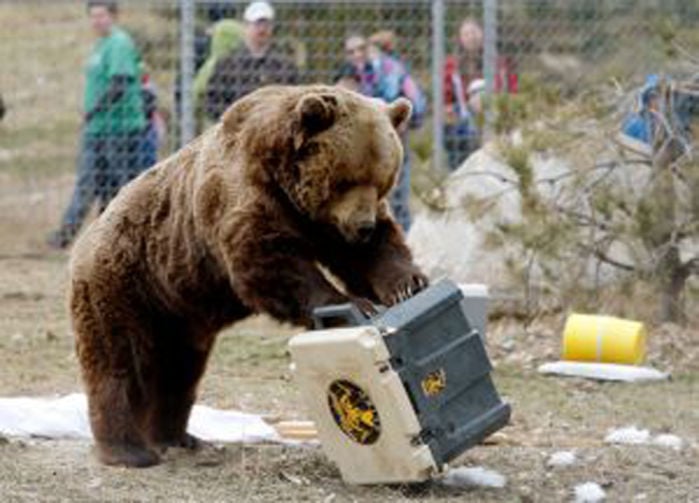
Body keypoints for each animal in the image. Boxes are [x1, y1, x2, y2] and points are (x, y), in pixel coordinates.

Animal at [72, 85, 432, 468]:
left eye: (383, 180)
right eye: (347, 180)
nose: (362, 227)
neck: (286, 183)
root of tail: (85, 241)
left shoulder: (324, 223)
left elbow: (372, 254)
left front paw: (409, 285)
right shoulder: (244, 196)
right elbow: (269, 265)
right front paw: (351, 305)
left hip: (176, 311)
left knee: (179, 371)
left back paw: (178, 437)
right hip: (126, 283)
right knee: (118, 361)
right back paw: (129, 450)